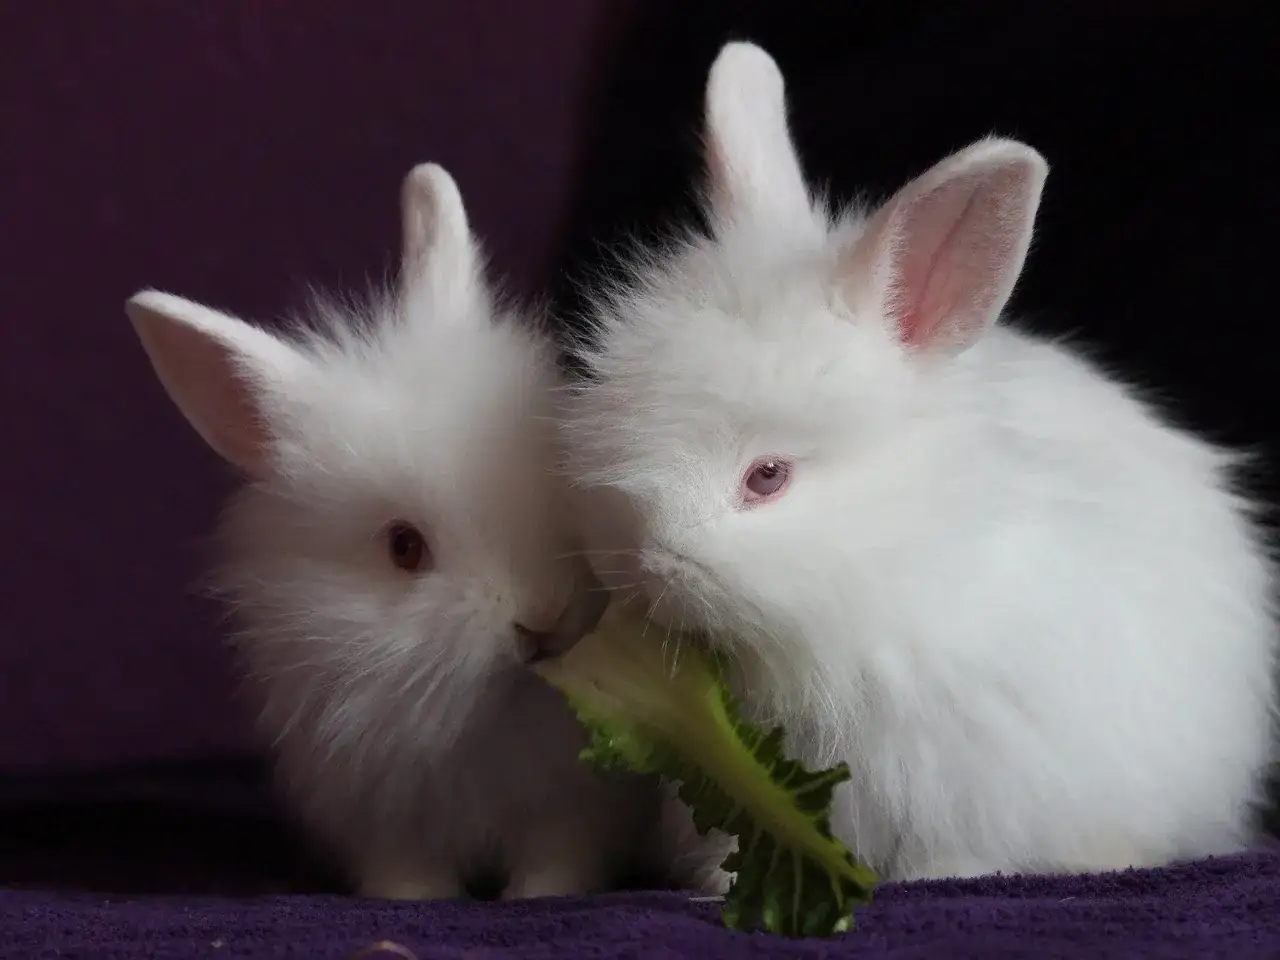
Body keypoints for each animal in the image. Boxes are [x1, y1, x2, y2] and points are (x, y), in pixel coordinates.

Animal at [125, 161, 666, 901]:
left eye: (558, 482)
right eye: (404, 548)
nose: (542, 618)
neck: (486, 719)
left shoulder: (575, 808)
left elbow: (557, 858)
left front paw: (541, 895)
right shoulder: (378, 812)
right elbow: (408, 871)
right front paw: (419, 899)